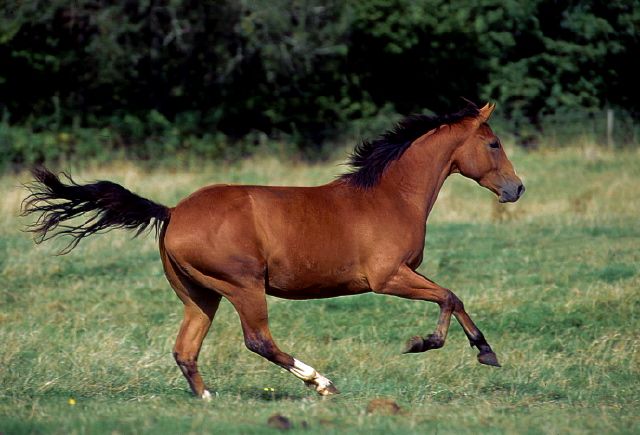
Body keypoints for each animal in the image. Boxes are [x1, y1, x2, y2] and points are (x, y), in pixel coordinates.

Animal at [23, 101, 524, 398]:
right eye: (493, 143)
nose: (517, 188)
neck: (390, 195)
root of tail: (173, 212)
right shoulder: (388, 277)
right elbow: (449, 296)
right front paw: (435, 345)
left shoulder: (400, 276)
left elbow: (452, 297)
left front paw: (478, 350)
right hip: (243, 286)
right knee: (258, 340)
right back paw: (321, 383)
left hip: (199, 295)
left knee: (186, 350)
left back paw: (208, 400)